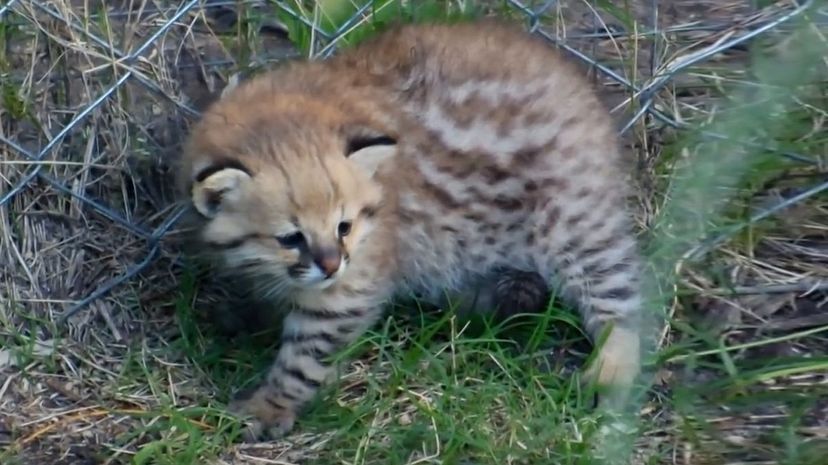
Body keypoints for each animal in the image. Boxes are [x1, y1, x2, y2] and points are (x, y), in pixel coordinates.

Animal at [180, 19, 648, 438]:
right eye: (290, 238)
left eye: (344, 227)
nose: (331, 266)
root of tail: (575, 80)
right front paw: (247, 317)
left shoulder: (349, 288)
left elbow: (304, 357)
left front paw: (271, 405)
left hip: (572, 221)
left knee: (621, 298)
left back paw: (611, 371)